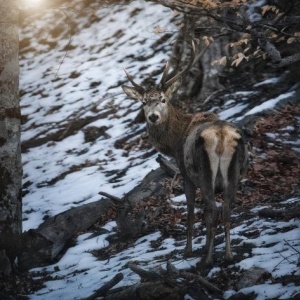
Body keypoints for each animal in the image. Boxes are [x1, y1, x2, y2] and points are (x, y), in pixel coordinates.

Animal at [121, 44, 248, 264]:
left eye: (163, 99)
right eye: (143, 103)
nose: (153, 117)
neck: (174, 142)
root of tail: (222, 137)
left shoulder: (185, 173)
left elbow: (191, 212)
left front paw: (188, 250)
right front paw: (205, 245)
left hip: (205, 174)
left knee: (214, 209)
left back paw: (207, 259)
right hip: (234, 173)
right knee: (226, 209)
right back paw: (228, 254)